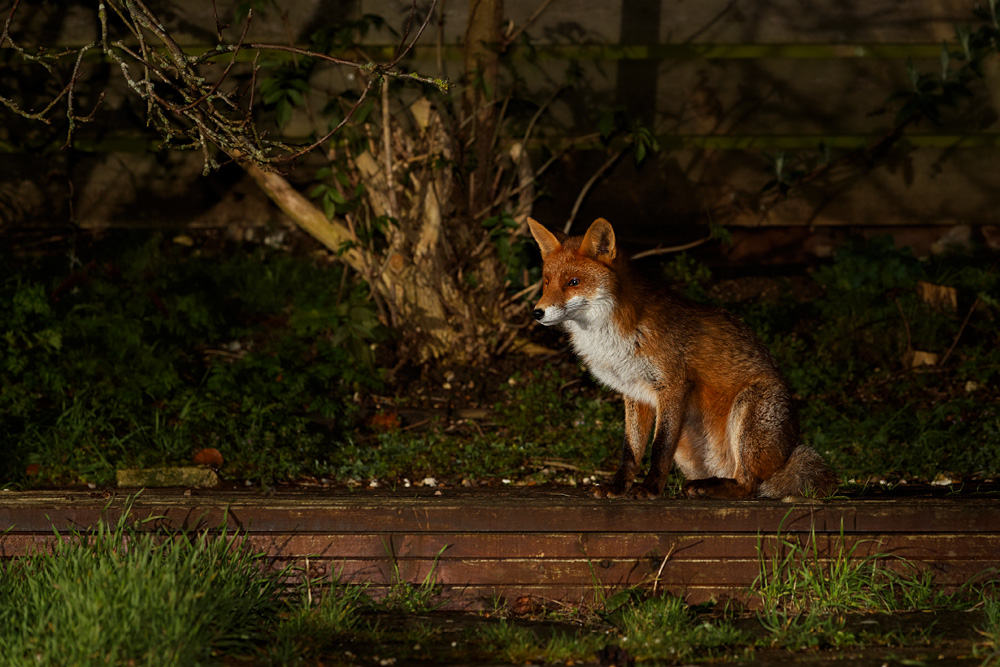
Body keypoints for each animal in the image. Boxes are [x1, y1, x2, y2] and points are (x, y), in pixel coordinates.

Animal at [527, 217, 837, 500]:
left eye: (573, 282)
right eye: (546, 282)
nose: (537, 312)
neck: (613, 339)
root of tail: (786, 456)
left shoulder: (673, 386)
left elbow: (659, 447)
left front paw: (650, 489)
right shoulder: (634, 394)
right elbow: (631, 450)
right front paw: (618, 486)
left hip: (749, 409)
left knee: (750, 485)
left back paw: (711, 488)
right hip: (689, 448)